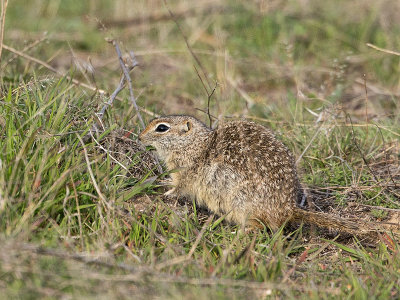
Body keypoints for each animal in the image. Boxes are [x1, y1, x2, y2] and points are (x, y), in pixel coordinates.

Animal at [138, 115, 376, 234]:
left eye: (161, 128)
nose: (139, 137)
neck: (193, 144)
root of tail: (288, 209)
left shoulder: (185, 172)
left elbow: (178, 188)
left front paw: (165, 193)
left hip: (241, 203)